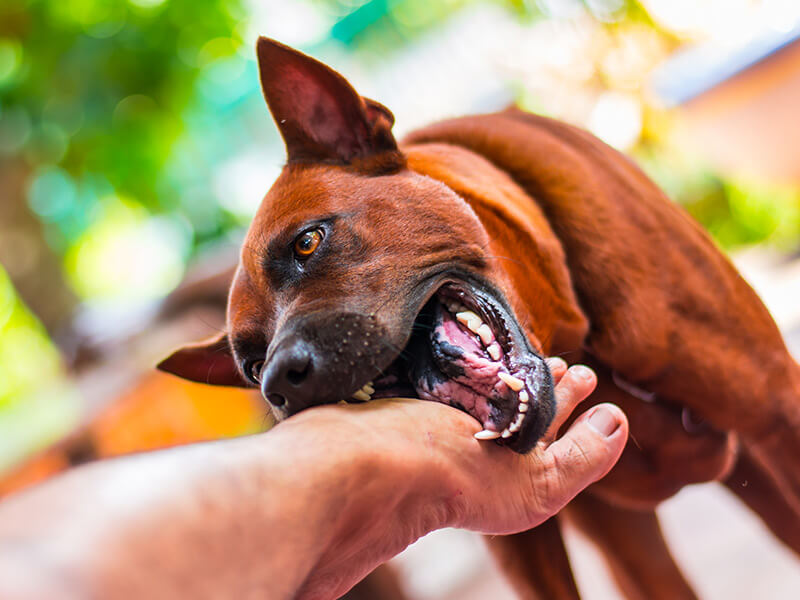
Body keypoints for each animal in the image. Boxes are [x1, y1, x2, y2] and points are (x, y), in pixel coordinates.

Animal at [159, 38, 800, 600]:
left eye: (308, 242)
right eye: (249, 365)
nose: (279, 383)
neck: (576, 336)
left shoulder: (778, 418)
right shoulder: (537, 538)